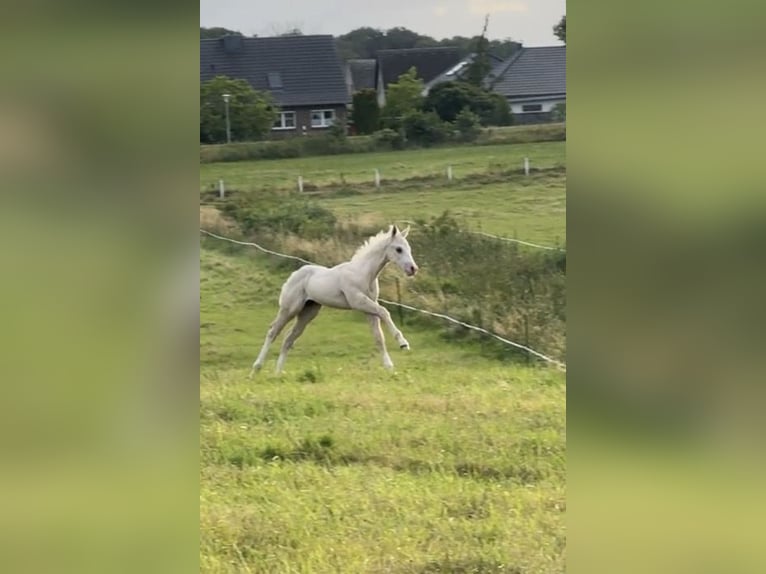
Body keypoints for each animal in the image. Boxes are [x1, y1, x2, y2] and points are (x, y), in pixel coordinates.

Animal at [250, 224, 419, 375]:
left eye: (409, 248)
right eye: (398, 249)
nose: (413, 269)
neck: (363, 273)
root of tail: (293, 275)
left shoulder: (369, 308)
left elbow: (378, 337)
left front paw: (389, 367)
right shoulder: (358, 302)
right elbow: (384, 312)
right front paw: (403, 343)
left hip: (308, 312)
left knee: (289, 338)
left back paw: (278, 373)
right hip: (290, 309)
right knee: (273, 331)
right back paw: (256, 369)